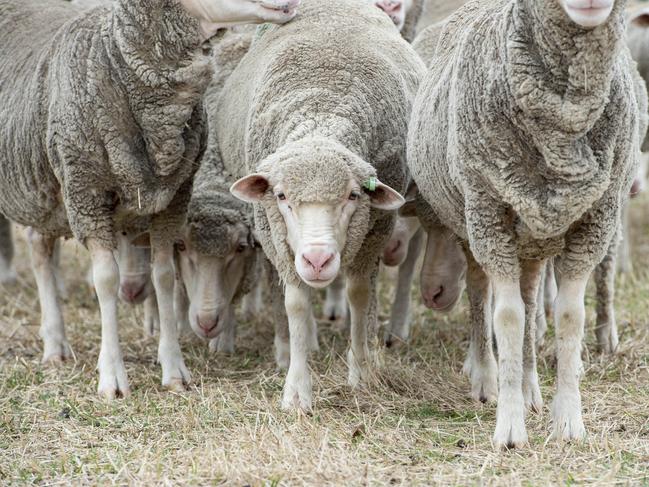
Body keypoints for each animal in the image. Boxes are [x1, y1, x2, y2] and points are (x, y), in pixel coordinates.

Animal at [0, 0, 298, 400]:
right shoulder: (87, 192)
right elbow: (106, 280)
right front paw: (112, 376)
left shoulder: (172, 199)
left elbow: (165, 277)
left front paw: (174, 370)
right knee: (40, 253)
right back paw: (54, 343)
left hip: (49, 192)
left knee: (38, 243)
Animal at [219, 0, 426, 412]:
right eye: (282, 196)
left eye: (352, 196)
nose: (317, 260)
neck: (321, 109)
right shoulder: (275, 235)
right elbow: (296, 304)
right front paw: (297, 390)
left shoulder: (375, 228)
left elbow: (359, 295)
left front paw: (360, 372)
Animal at [408, 0, 640, 450]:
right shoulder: (489, 219)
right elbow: (508, 318)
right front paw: (510, 427)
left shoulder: (595, 221)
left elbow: (568, 317)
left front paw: (568, 420)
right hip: (476, 222)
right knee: (482, 295)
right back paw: (487, 377)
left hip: (533, 238)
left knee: (533, 303)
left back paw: (531, 386)